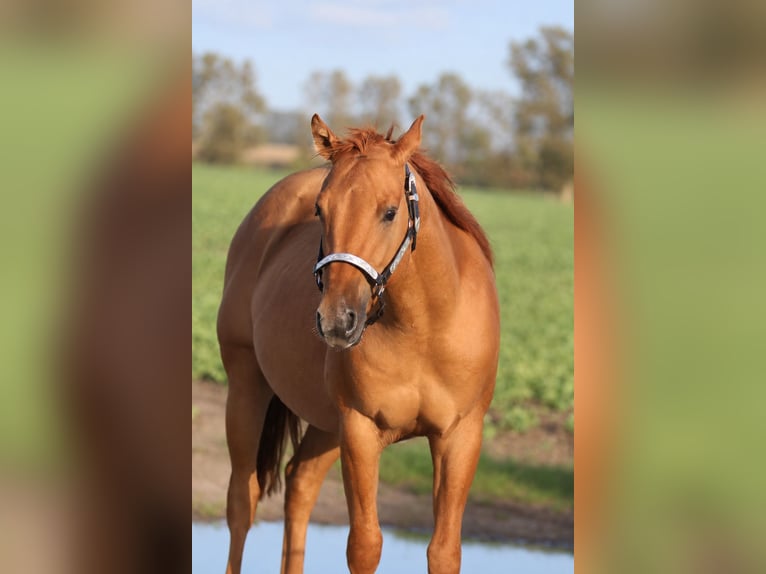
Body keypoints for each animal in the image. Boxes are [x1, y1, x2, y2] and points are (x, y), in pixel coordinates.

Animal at [217, 114, 500, 574]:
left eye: (389, 212)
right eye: (320, 210)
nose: (337, 320)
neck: (424, 330)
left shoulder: (460, 436)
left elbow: (444, 551)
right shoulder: (361, 431)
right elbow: (365, 546)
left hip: (324, 424)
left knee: (299, 486)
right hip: (247, 388)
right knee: (244, 499)